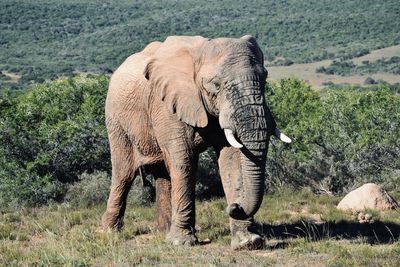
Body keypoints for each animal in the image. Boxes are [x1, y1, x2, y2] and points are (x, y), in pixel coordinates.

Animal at [101, 34, 290, 250]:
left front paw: (248, 242)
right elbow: (184, 162)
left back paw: (162, 231)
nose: (235, 206)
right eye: (216, 84)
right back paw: (110, 232)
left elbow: (231, 159)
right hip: (116, 120)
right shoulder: (166, 106)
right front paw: (181, 243)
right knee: (123, 172)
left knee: (162, 173)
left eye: (265, 78)